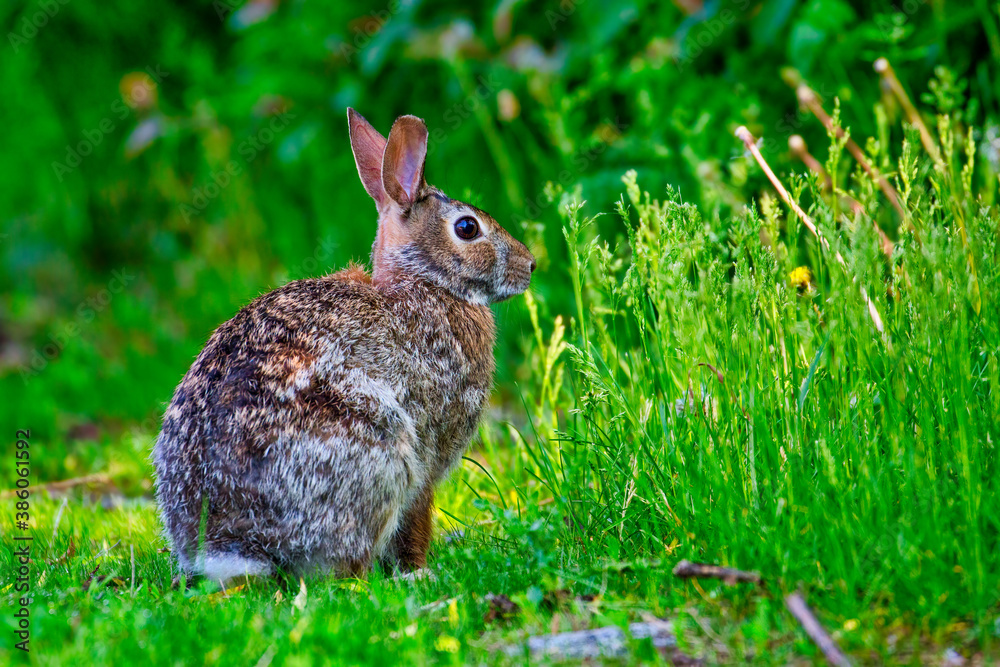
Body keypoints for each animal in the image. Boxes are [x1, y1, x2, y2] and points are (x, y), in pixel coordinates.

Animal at [153, 109, 536, 583]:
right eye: (467, 228)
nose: (530, 265)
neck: (424, 282)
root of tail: (234, 545)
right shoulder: (428, 454)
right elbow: (417, 519)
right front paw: (418, 568)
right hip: (378, 440)